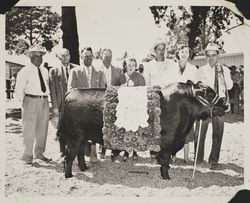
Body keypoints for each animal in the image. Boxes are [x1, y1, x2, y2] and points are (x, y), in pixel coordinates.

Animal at [57, 81, 229, 178]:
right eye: (209, 94)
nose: (225, 104)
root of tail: (72, 91)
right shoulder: (168, 141)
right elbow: (164, 160)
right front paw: (166, 177)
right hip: (74, 136)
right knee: (69, 156)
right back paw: (69, 175)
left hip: (81, 137)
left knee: (79, 153)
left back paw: (84, 168)